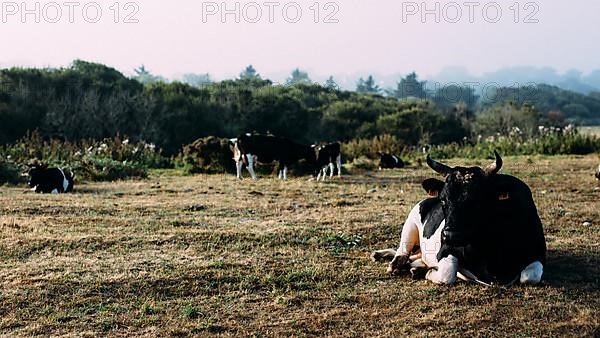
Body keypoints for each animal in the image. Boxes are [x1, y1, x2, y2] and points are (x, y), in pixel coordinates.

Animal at [372, 152, 548, 286]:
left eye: (478, 200)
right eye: (443, 199)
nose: (450, 235)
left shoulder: (538, 254)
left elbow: (529, 277)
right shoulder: (445, 250)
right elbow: (447, 274)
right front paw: (430, 273)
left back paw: (415, 268)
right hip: (410, 225)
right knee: (402, 252)